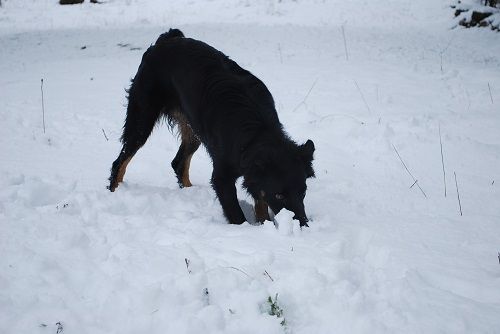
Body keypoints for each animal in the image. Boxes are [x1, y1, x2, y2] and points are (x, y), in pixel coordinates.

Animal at [109, 29, 314, 227]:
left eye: (303, 192)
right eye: (279, 194)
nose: (303, 224)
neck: (256, 131)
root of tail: (167, 38)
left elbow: (261, 203)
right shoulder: (222, 176)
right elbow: (237, 214)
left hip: (193, 130)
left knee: (178, 163)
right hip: (142, 120)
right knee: (119, 162)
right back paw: (114, 192)